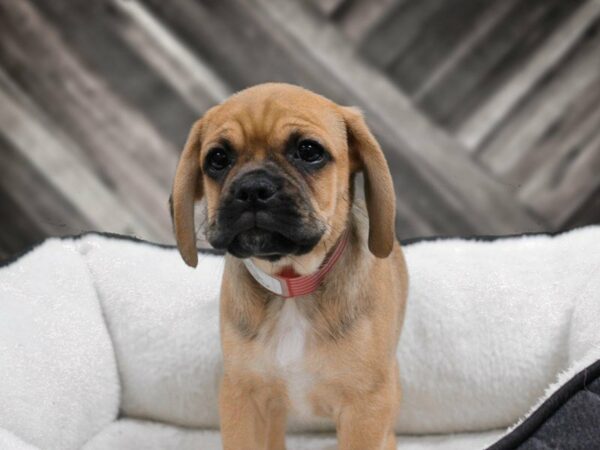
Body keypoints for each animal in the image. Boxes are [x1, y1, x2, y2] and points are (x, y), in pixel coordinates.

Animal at [171, 82, 410, 448]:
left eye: (309, 151)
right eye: (218, 159)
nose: (252, 188)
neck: (291, 285)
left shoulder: (366, 410)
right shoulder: (243, 396)